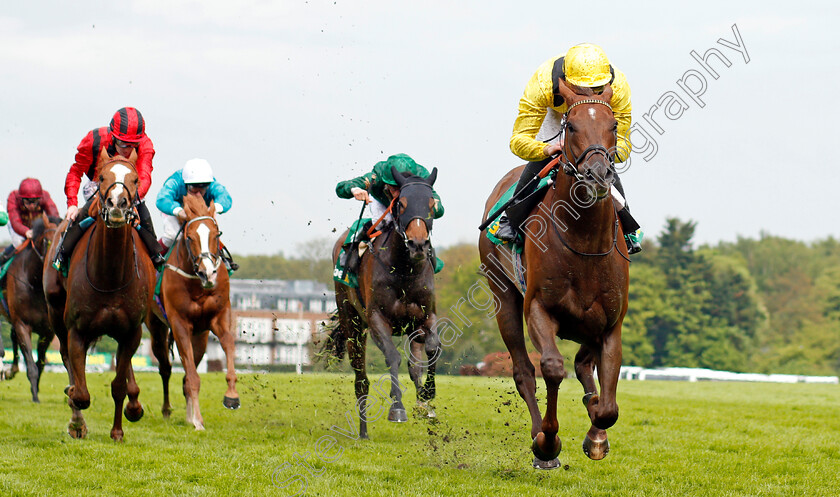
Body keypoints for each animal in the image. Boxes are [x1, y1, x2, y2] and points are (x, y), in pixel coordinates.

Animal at [1, 215, 60, 402]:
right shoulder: (22, 324)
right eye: (48, 241)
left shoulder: (48, 332)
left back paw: (11, 370)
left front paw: (37, 390)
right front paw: (35, 396)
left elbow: (40, 364)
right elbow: (31, 365)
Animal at [44, 146, 156, 438]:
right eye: (102, 177)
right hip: (55, 313)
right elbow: (80, 391)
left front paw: (118, 431)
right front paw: (75, 413)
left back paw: (134, 404)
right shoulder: (76, 330)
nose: (118, 204)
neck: (111, 275)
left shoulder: (132, 331)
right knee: (67, 361)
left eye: (135, 179)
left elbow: (118, 385)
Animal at [320, 167, 440, 438]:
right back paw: (363, 432)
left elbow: (432, 349)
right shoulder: (377, 319)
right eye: (402, 203)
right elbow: (392, 357)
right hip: (352, 323)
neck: (404, 270)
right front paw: (398, 409)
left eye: (431, 204)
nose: (418, 244)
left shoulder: (425, 317)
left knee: (414, 364)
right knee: (361, 380)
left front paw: (427, 397)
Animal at [480, 83, 632, 466]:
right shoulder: (538, 307)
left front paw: (597, 435)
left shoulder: (611, 323)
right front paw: (547, 443)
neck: (584, 241)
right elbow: (550, 368)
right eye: (572, 126)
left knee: (582, 365)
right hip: (502, 294)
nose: (598, 174)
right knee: (524, 371)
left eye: (613, 125)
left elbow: (608, 407)